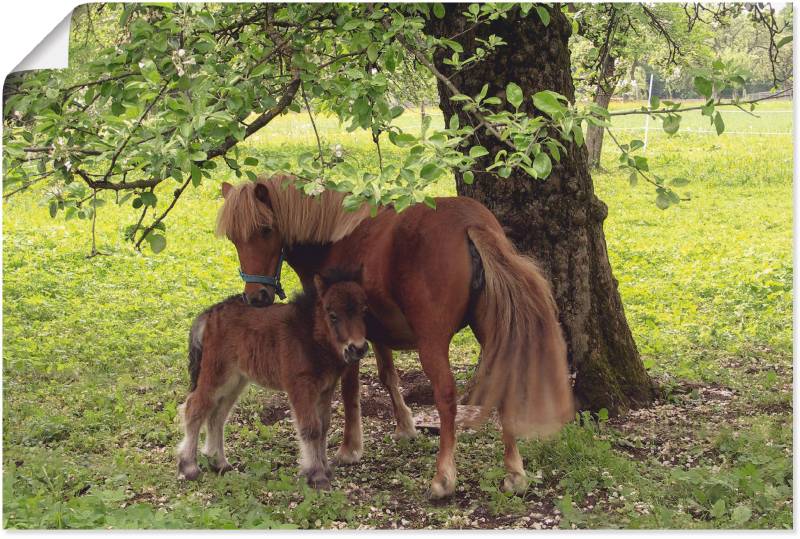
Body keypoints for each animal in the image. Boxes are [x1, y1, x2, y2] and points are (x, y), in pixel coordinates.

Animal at [177, 266, 368, 490]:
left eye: (364, 311)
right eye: (333, 315)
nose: (358, 348)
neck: (310, 334)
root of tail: (210, 313)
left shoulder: (325, 389)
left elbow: (323, 427)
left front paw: (325, 470)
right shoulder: (300, 386)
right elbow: (311, 428)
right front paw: (317, 476)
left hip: (236, 381)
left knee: (217, 415)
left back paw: (220, 463)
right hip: (216, 374)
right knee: (195, 408)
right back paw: (189, 467)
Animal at [216, 176, 572, 498]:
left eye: (265, 229)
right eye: (233, 238)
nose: (257, 297)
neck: (335, 238)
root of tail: (470, 223)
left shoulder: (345, 339)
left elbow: (350, 390)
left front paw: (350, 448)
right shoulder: (374, 334)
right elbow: (388, 375)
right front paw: (405, 426)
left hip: (432, 343)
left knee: (446, 397)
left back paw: (443, 478)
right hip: (491, 332)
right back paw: (514, 473)